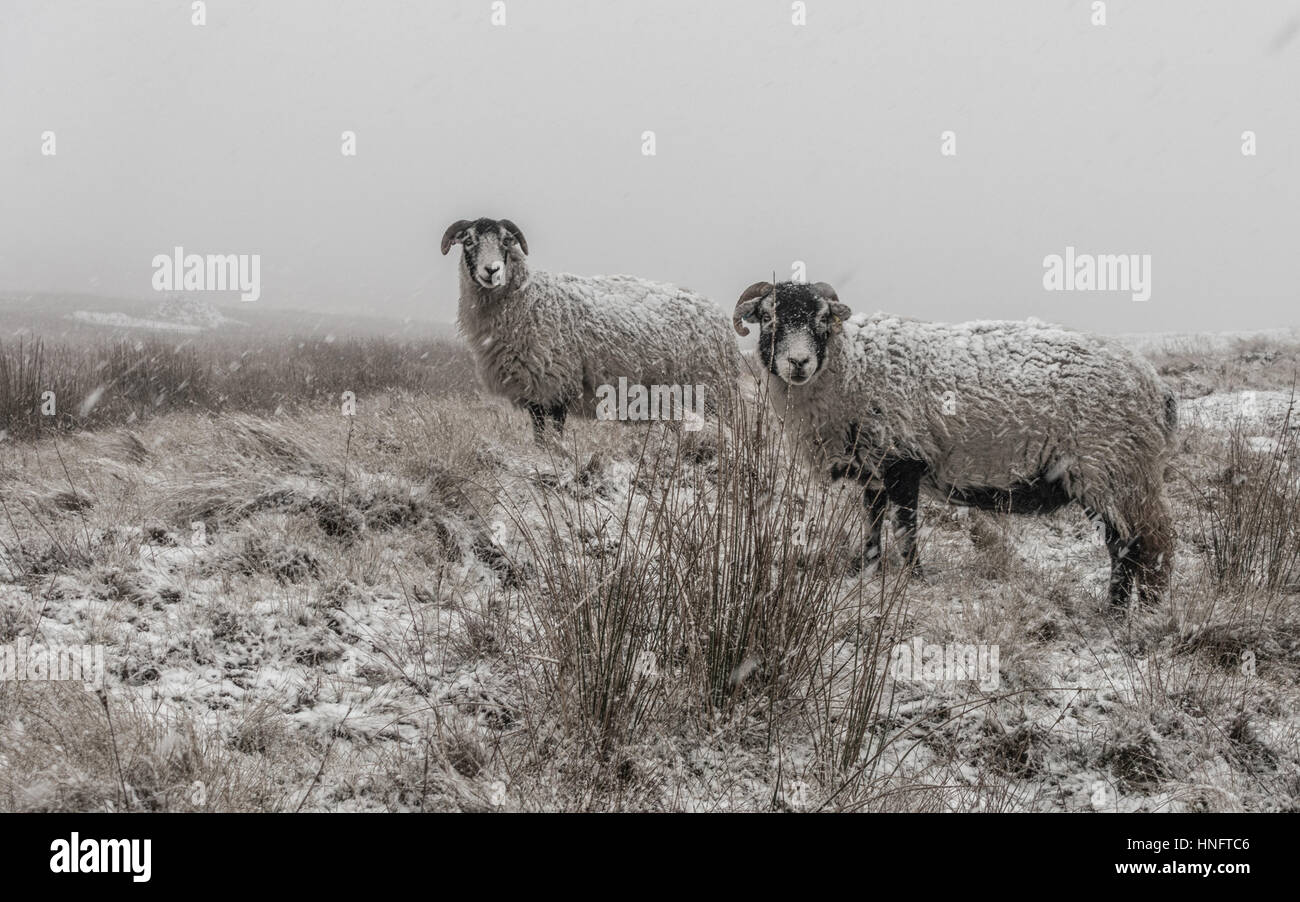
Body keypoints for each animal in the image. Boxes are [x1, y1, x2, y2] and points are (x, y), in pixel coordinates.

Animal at [441, 219, 743, 444]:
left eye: (506, 241)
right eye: (468, 241)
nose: (492, 271)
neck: (529, 298)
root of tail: (716, 312)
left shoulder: (558, 383)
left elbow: (554, 433)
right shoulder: (535, 391)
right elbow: (539, 434)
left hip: (711, 392)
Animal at [733, 283, 1180, 608]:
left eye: (823, 318)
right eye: (768, 317)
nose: (798, 363)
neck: (851, 366)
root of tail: (1157, 387)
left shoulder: (903, 460)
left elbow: (906, 531)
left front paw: (913, 581)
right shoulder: (874, 469)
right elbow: (873, 526)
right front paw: (867, 573)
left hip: (1114, 469)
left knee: (1141, 546)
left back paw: (1130, 613)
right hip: (1113, 475)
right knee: (1128, 546)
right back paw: (1121, 611)